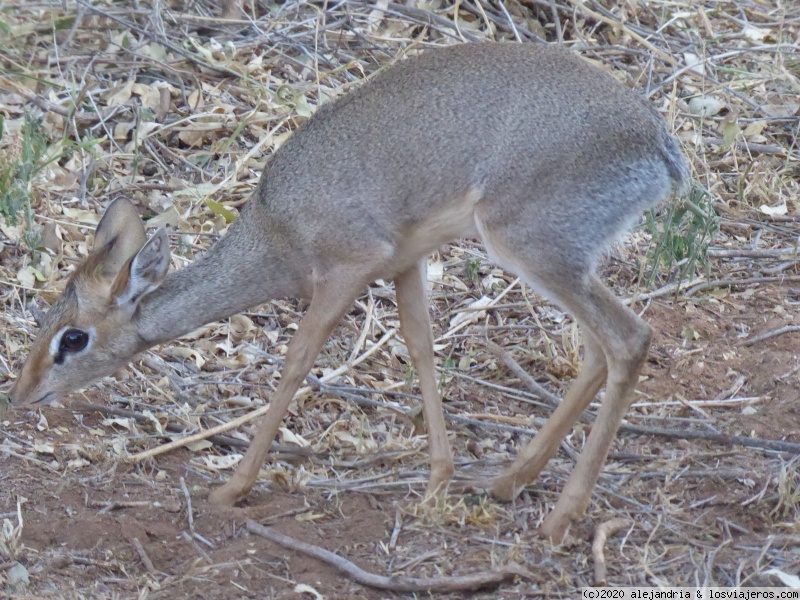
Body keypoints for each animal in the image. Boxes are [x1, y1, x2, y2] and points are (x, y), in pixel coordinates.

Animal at [9, 43, 692, 544]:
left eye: (73, 338)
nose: (20, 395)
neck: (274, 229)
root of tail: (660, 146)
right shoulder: (405, 263)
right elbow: (421, 350)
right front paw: (437, 483)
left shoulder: (346, 268)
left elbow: (296, 362)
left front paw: (232, 487)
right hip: (567, 262)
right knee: (598, 350)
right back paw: (507, 482)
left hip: (531, 248)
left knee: (629, 339)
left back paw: (559, 518)